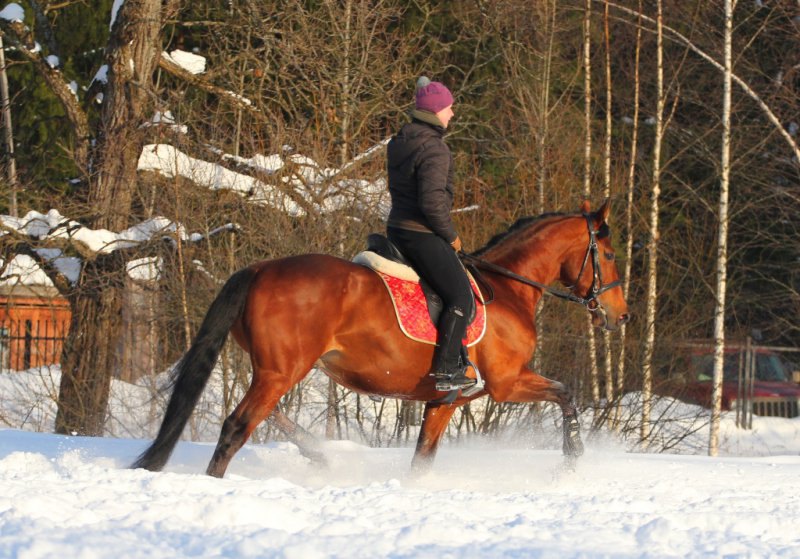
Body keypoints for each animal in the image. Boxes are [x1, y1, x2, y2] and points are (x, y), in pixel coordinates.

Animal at [133, 201, 632, 476]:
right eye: (608, 254)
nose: (621, 315)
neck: (508, 288)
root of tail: (259, 268)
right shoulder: (507, 383)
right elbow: (566, 395)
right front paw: (571, 457)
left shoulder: (444, 402)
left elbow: (422, 458)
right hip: (282, 370)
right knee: (238, 426)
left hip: (277, 369)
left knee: (266, 414)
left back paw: (319, 457)